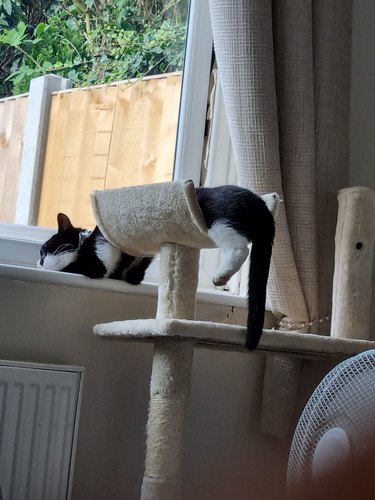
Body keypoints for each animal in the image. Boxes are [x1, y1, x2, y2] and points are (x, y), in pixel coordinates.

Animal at [39, 186, 280, 350]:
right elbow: (138, 265)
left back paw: (221, 275)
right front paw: (134, 275)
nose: (39, 262)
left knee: (239, 247)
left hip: (215, 218)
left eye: (44, 249)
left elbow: (90, 263)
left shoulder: (100, 255)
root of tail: (261, 205)